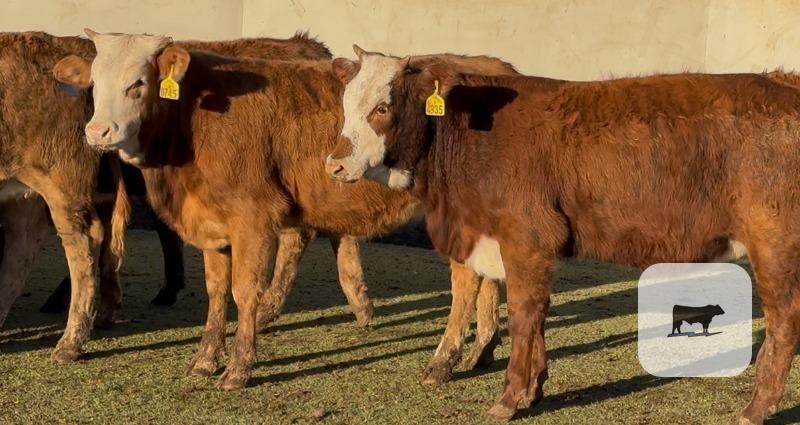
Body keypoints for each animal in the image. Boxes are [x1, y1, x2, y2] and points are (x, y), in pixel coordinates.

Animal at [51, 29, 520, 390]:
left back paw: (443, 361)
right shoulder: (212, 225)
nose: (99, 131)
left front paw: (238, 369)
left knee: (466, 283)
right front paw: (205, 360)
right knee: (485, 279)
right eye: (94, 85)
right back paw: (480, 352)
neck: (193, 118)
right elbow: (216, 292)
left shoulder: (253, 220)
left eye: (138, 84)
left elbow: (244, 291)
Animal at [325, 46, 800, 424]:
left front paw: (509, 398)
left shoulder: (527, 237)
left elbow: (522, 314)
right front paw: (533, 390)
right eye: (346, 104)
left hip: (773, 242)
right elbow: (536, 314)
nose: (334, 164)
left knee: (784, 320)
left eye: (382, 107)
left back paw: (755, 409)